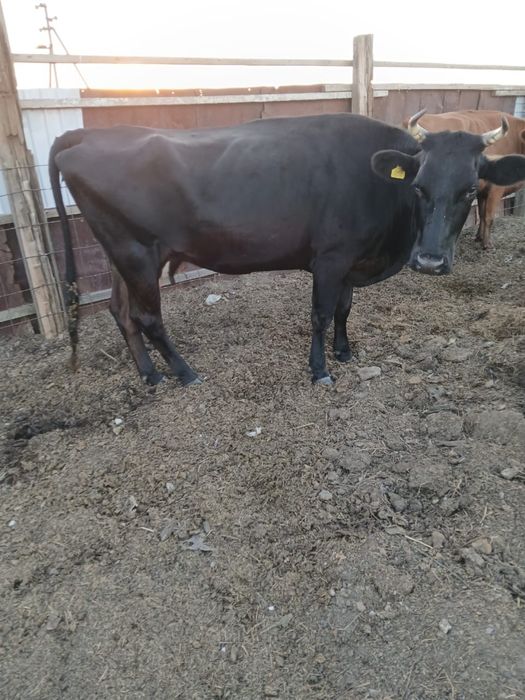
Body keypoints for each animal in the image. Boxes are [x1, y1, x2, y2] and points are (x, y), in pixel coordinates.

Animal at [415, 110, 525, 249]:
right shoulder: (495, 189)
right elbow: (489, 217)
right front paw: (487, 244)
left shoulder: (481, 191)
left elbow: (482, 214)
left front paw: (479, 237)